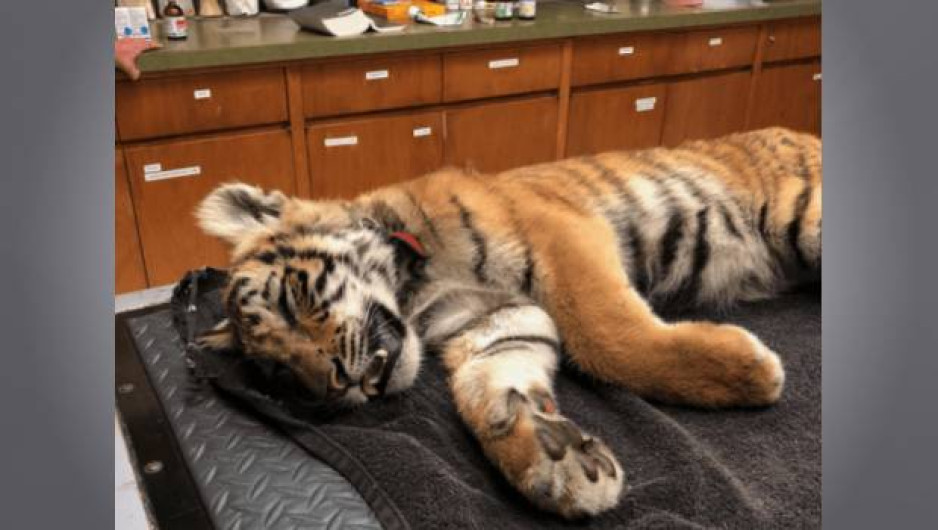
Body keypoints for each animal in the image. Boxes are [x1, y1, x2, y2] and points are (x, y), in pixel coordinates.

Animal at [194, 127, 821, 519]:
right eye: (279, 374)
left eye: (290, 301)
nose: (332, 386)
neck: (416, 289)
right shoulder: (494, 321)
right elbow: (488, 387)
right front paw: (551, 457)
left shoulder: (562, 238)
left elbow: (606, 334)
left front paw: (749, 370)